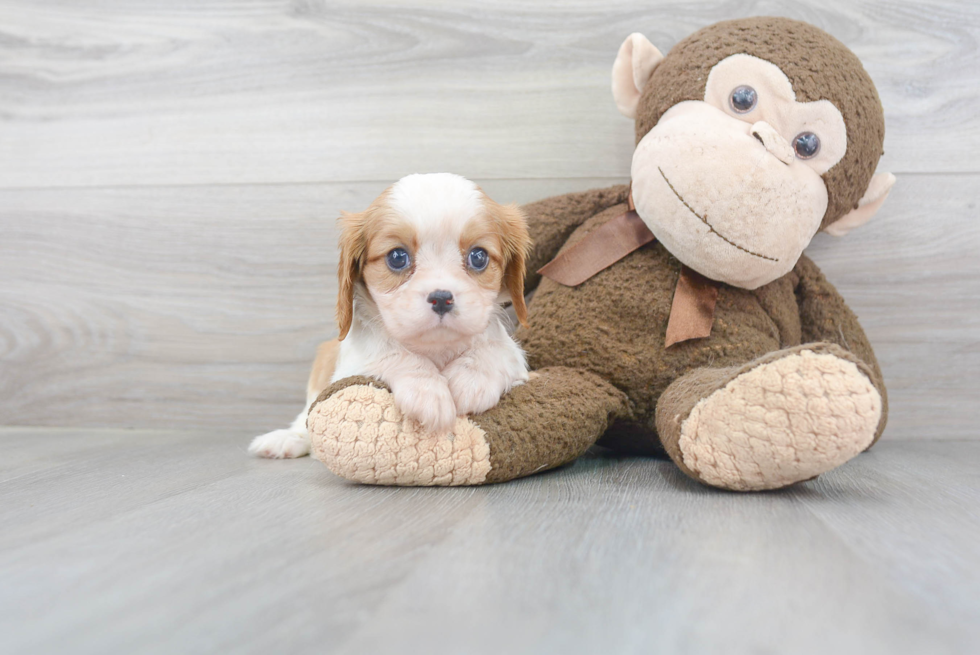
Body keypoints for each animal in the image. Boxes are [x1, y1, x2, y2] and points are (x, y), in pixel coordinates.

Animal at [249, 174, 532, 462]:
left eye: (478, 256)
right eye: (397, 257)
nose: (442, 298)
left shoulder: (513, 357)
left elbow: (495, 349)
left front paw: (472, 379)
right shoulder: (351, 364)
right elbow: (391, 352)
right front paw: (427, 391)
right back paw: (288, 439)